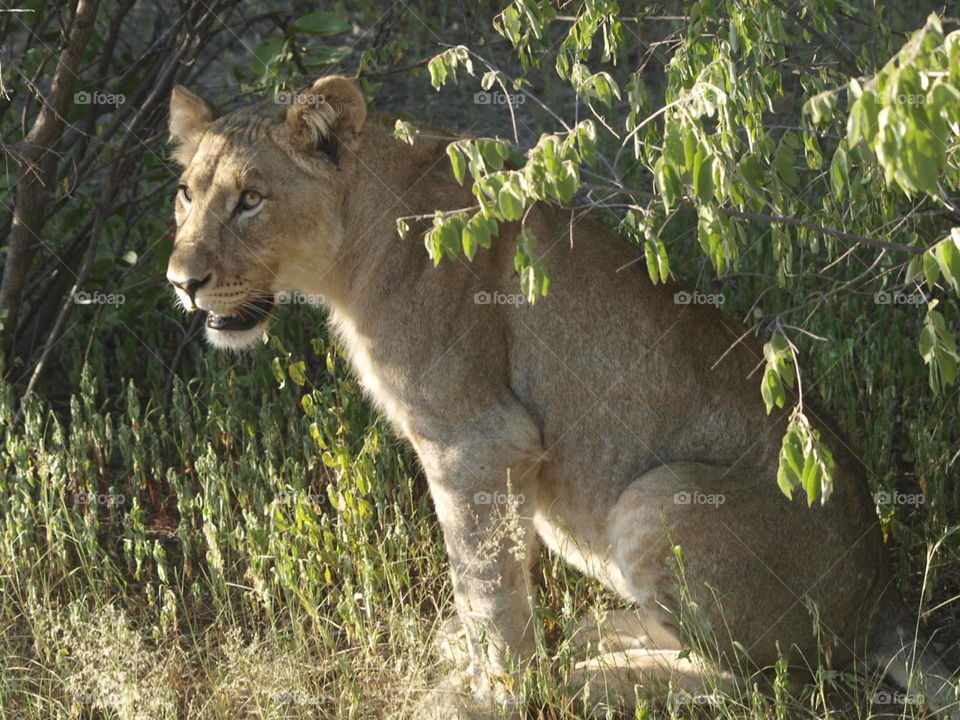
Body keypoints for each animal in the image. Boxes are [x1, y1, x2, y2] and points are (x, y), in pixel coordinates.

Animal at [166, 75, 957, 718]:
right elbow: (498, 576)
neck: (352, 243)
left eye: (250, 200)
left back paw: (590, 677)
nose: (181, 281)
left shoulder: (474, 438)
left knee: (752, 683)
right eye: (187, 195)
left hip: (660, 495)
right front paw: (493, 668)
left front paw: (493, 695)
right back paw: (592, 633)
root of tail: (885, 599)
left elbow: (484, 583)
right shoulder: (496, 456)